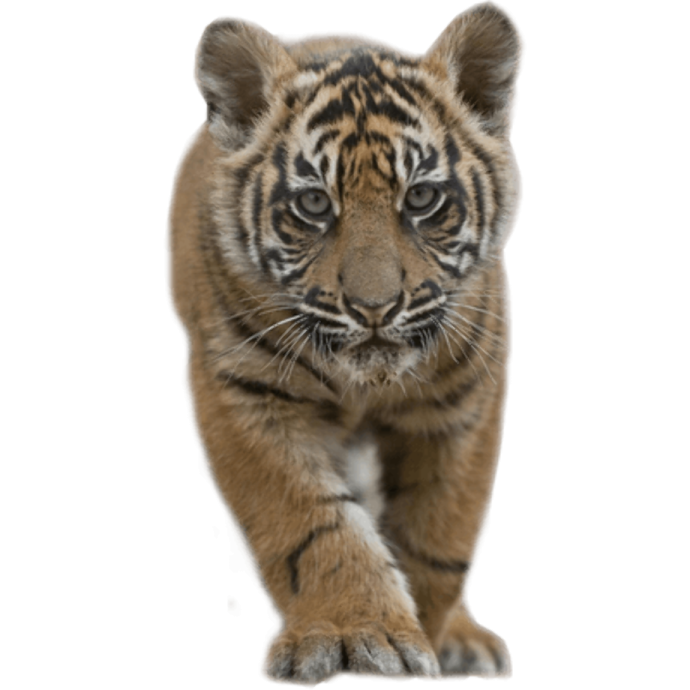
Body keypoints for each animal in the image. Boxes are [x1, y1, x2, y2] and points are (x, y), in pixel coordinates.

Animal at [166, 2, 525, 685]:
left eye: (422, 197)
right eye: (313, 203)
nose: (374, 308)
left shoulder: (469, 393)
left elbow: (441, 533)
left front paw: (425, 632)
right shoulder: (241, 389)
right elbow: (311, 520)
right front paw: (356, 632)